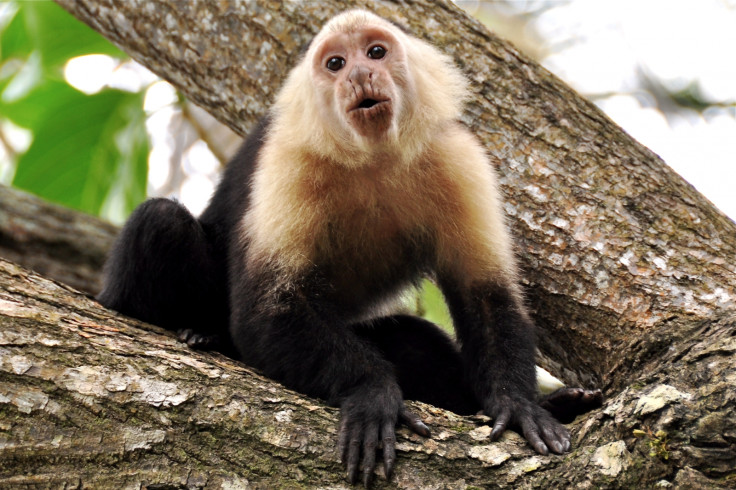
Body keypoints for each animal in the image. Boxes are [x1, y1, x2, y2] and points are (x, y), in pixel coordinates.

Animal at [99, 9, 604, 488]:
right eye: (336, 64)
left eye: (375, 52)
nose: (360, 74)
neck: (373, 158)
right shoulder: (288, 158)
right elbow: (268, 310)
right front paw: (372, 392)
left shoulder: (458, 157)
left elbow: (486, 294)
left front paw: (519, 405)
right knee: (161, 223)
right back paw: (204, 334)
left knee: (415, 339)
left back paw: (556, 404)